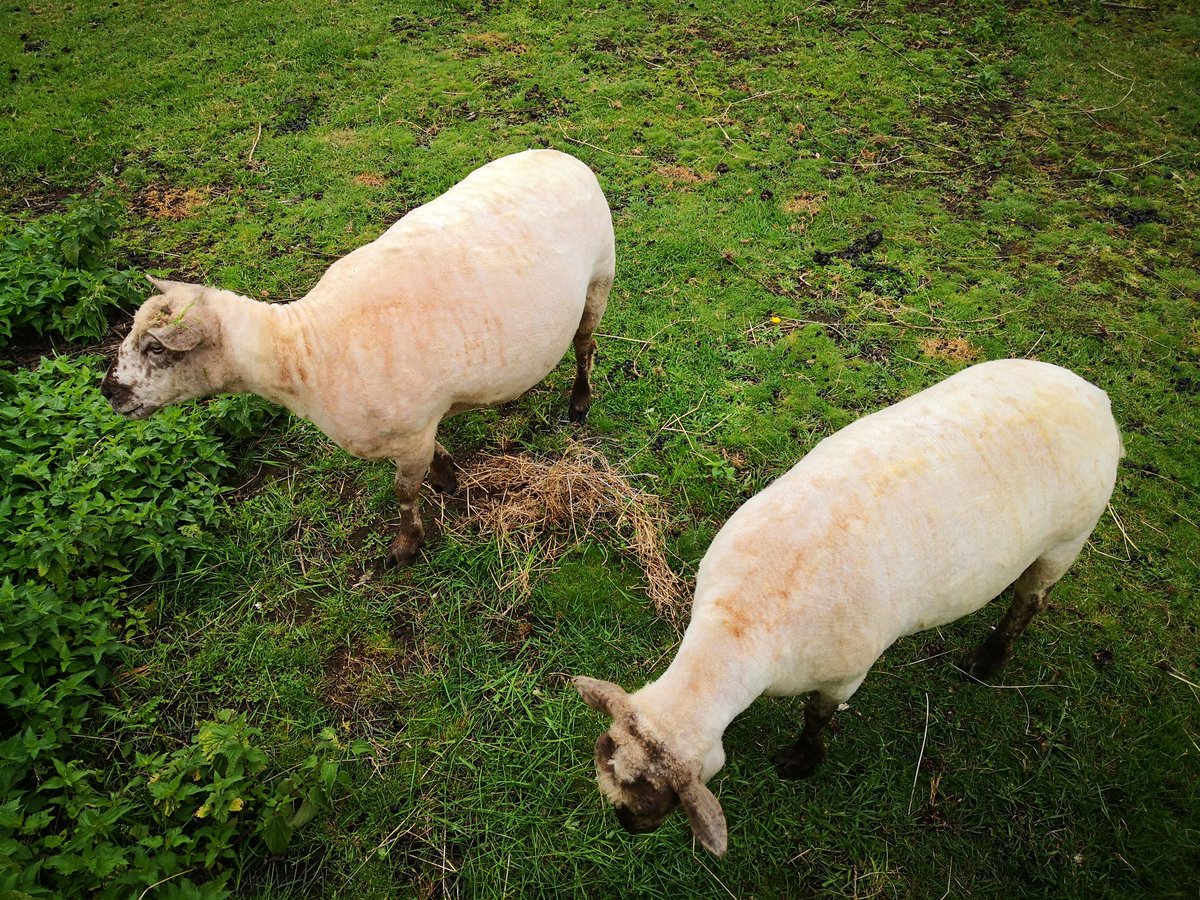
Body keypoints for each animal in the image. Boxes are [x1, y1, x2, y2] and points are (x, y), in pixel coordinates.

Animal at [101, 149, 615, 566]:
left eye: (156, 347)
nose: (108, 391)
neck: (302, 352)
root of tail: (563, 156)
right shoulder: (422, 424)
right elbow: (434, 459)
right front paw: (447, 475)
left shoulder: (410, 431)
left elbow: (404, 493)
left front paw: (406, 547)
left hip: (599, 278)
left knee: (585, 346)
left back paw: (580, 402)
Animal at [574, 359, 1122, 857]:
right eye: (605, 759)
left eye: (658, 805)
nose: (625, 825)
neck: (740, 625)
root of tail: (1095, 395)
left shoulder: (844, 672)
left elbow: (817, 717)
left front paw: (799, 761)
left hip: (1067, 538)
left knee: (1031, 601)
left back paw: (986, 662)